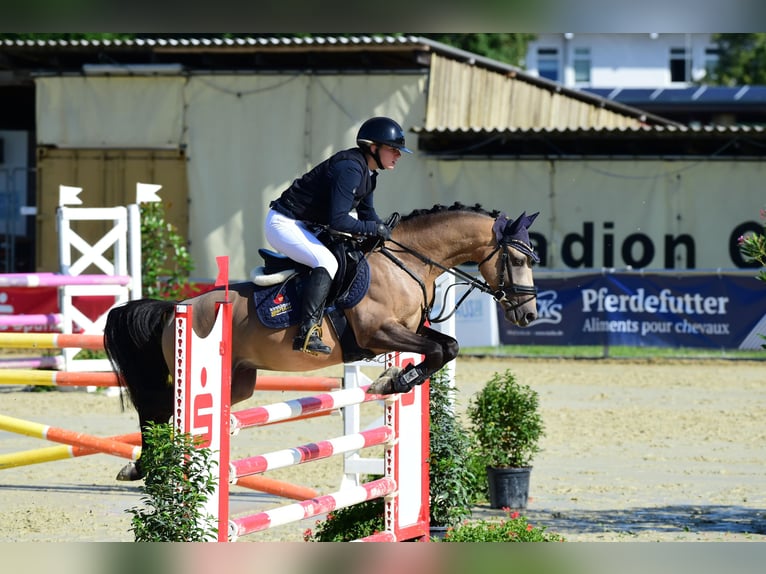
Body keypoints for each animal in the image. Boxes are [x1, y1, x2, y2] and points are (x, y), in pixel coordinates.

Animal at [105, 202, 544, 482]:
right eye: (517, 260)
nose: (528, 315)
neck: (408, 264)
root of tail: (176, 307)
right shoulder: (377, 333)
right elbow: (438, 350)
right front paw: (391, 382)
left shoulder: (409, 330)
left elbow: (447, 347)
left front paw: (394, 382)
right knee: (162, 412)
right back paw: (147, 467)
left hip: (240, 380)